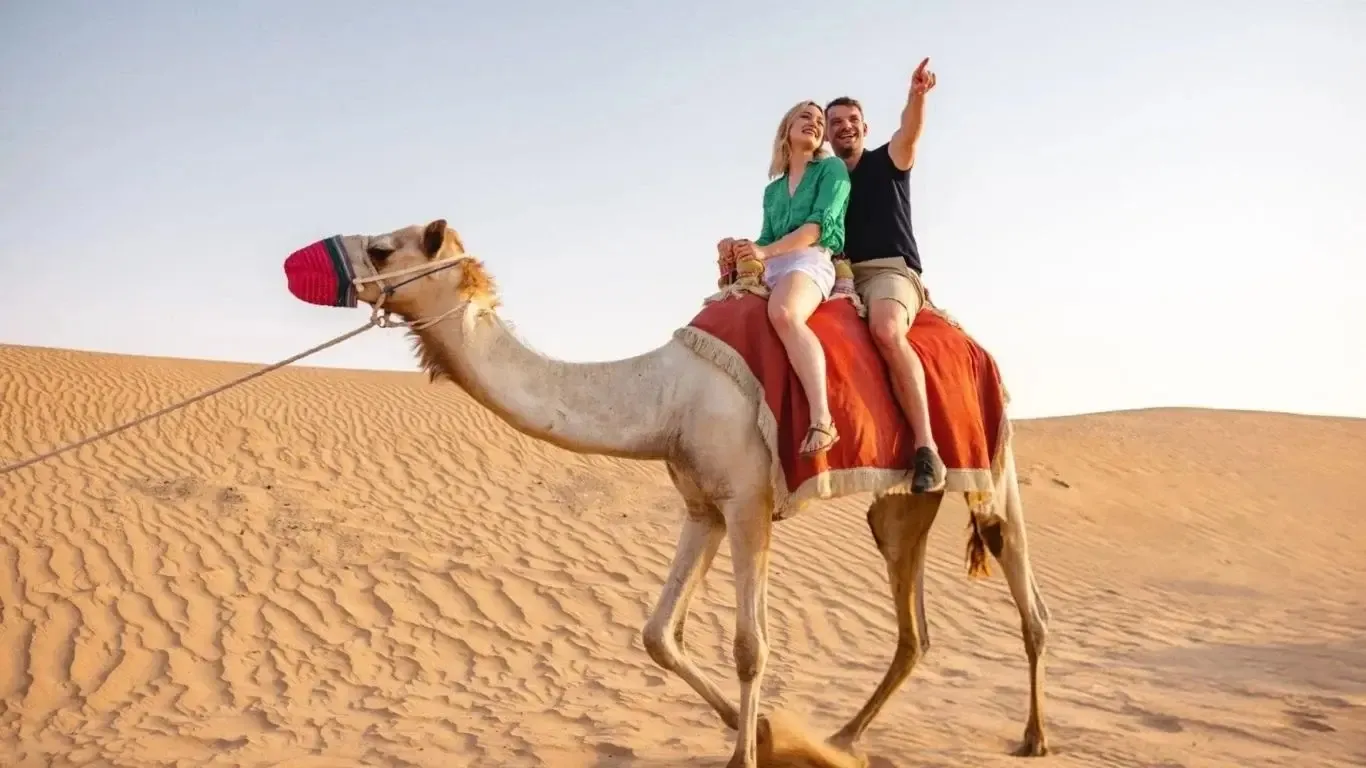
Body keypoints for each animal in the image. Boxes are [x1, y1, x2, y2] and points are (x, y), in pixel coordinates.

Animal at [311, 218, 1052, 768]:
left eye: (385, 248)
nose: (324, 264)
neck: (665, 396)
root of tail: (973, 342)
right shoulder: (703, 506)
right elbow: (657, 634)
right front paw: (763, 732)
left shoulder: (749, 503)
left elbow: (751, 646)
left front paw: (746, 753)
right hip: (901, 503)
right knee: (913, 627)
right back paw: (843, 738)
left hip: (994, 457)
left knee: (1021, 582)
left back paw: (1035, 735)